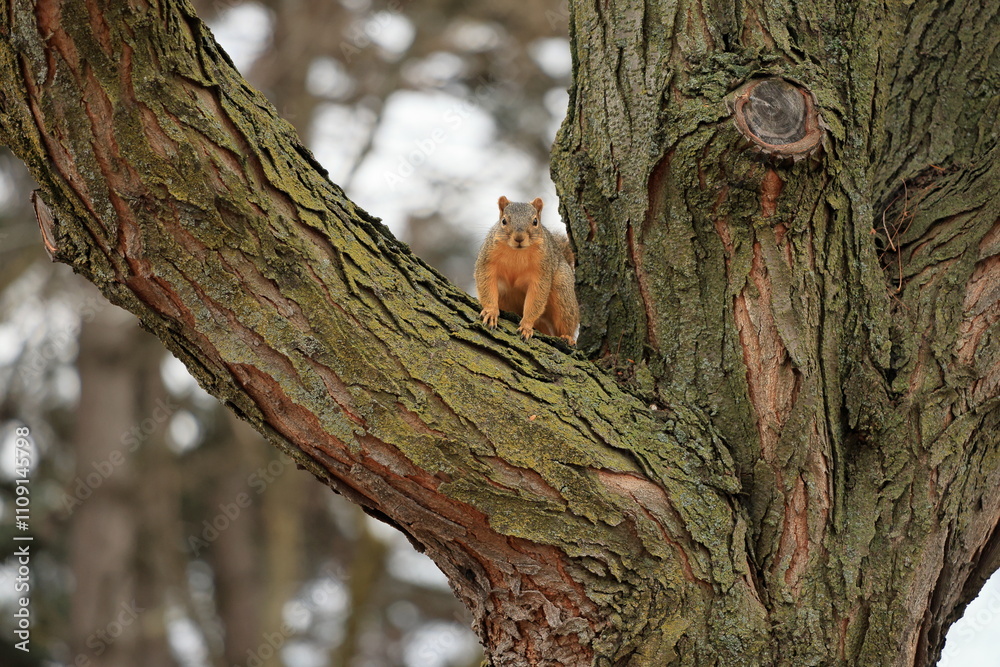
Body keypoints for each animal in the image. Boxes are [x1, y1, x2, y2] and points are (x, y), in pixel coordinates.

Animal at [475, 196, 579, 345]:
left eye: (535, 221)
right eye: (504, 221)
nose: (519, 238)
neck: (517, 253)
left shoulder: (542, 271)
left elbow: (536, 297)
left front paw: (526, 326)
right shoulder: (488, 260)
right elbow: (486, 283)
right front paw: (490, 312)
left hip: (563, 290)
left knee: (567, 320)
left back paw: (568, 337)